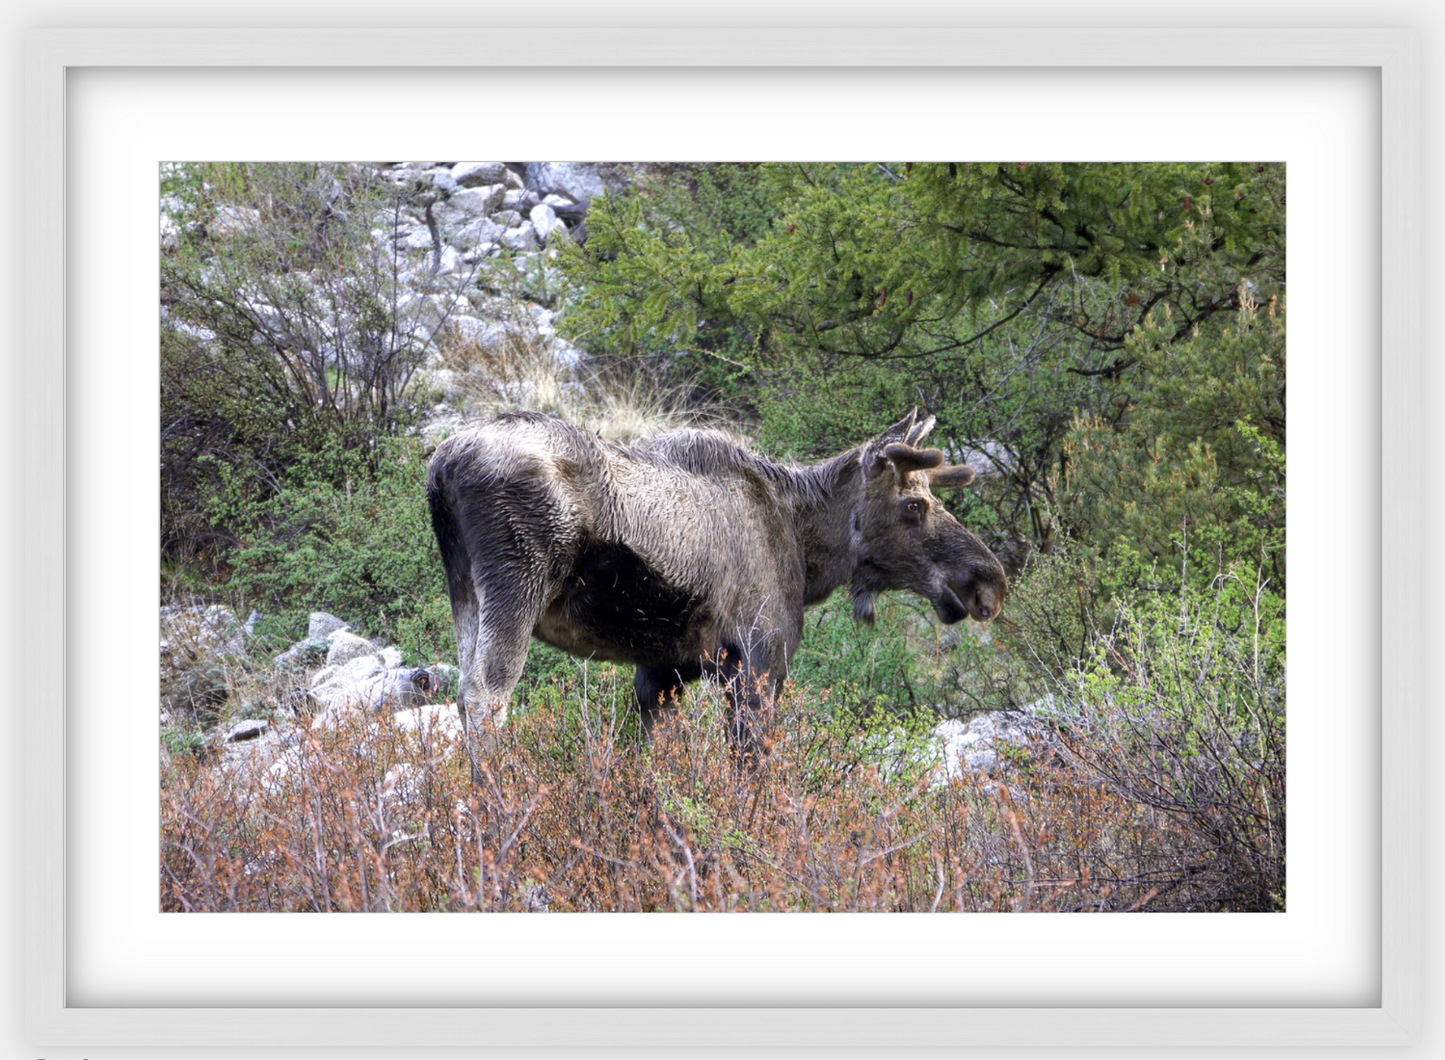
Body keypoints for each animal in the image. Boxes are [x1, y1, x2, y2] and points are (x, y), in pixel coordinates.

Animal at [421, 407, 999, 779]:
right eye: (914, 505)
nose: (987, 579)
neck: (805, 547)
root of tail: (440, 468)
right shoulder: (759, 659)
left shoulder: (662, 672)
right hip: (516, 583)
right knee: (485, 697)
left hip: (464, 592)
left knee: (462, 694)